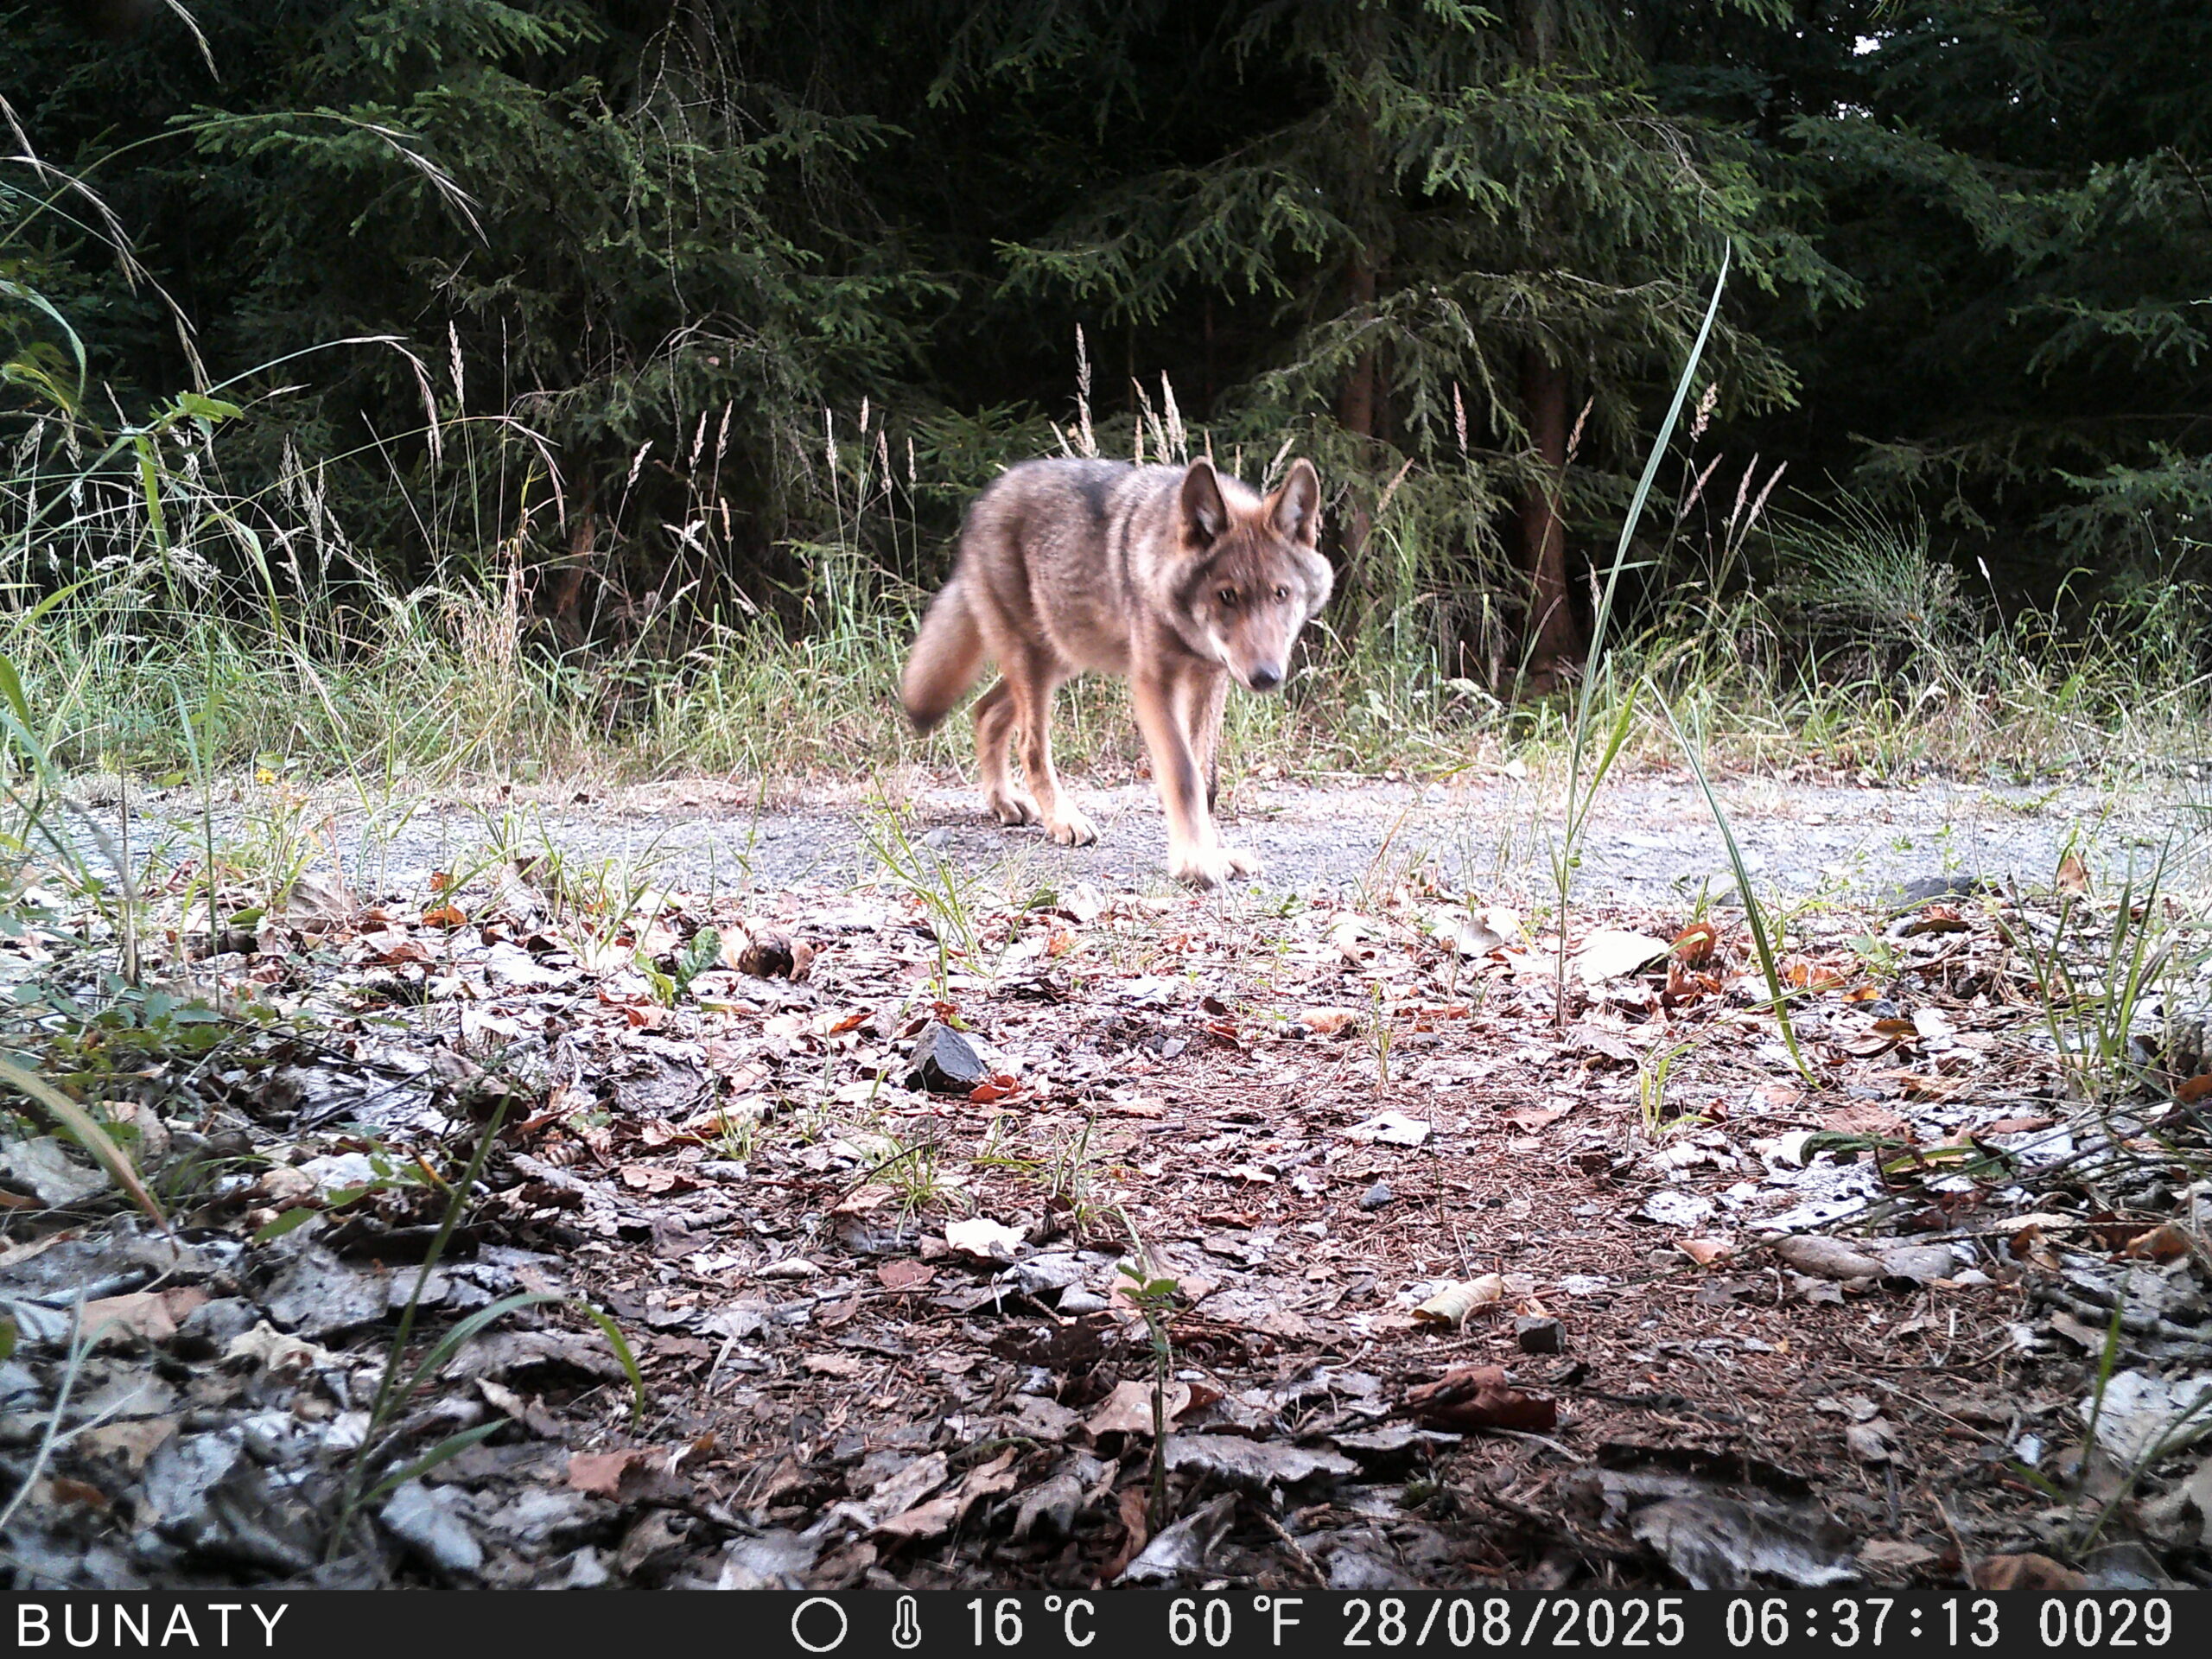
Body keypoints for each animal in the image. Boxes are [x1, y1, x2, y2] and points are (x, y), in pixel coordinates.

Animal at [899, 455, 1332, 887]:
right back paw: (1063, 820)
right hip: (1039, 660)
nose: (1266, 676)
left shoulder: (1211, 678)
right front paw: (1194, 862)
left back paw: (1004, 802)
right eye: (1227, 595)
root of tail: (987, 496)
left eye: (1280, 593)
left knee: (986, 711)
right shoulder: (1154, 683)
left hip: (1063, 656)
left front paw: (1214, 853)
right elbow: (1184, 776)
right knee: (1030, 745)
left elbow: (1206, 779)